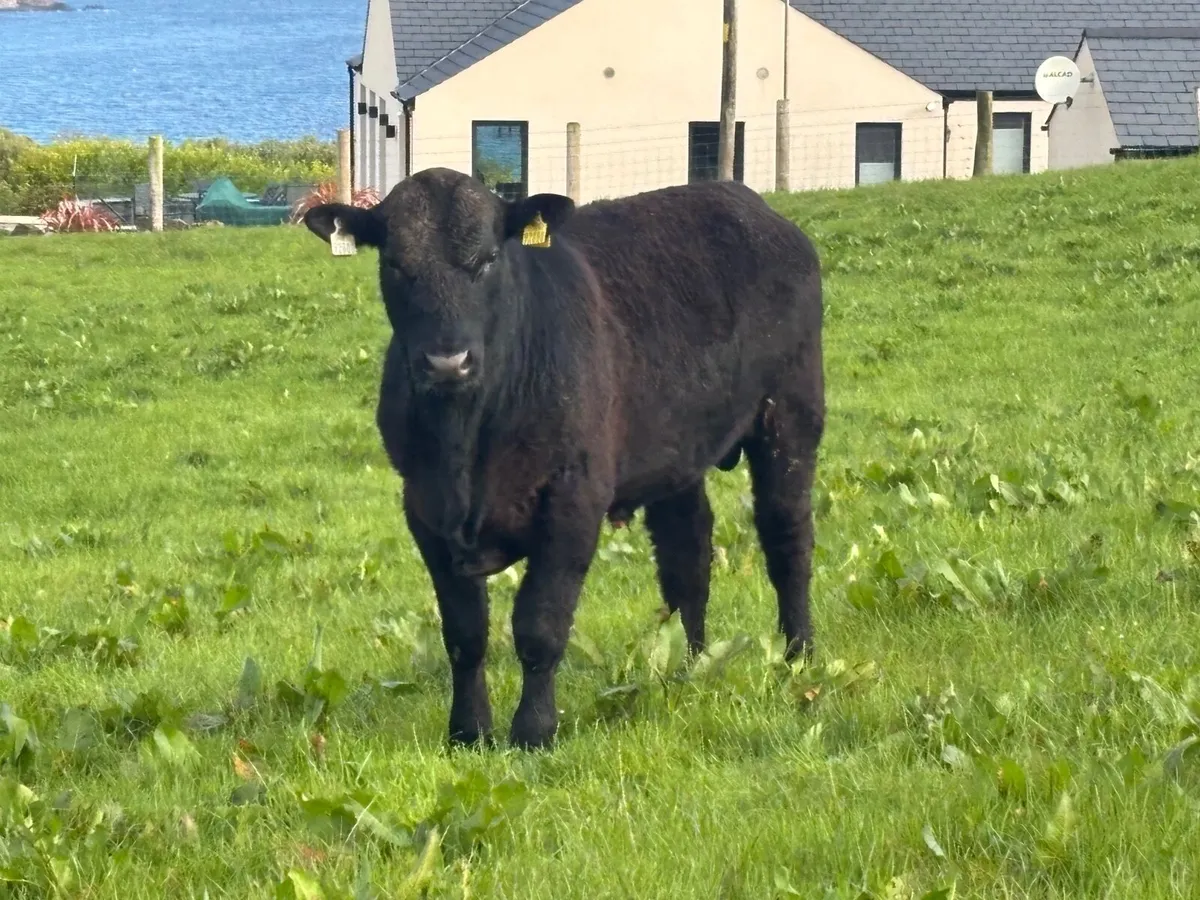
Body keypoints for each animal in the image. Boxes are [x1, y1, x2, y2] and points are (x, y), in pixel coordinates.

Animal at [302, 167, 825, 751]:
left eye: (488, 258)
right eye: (395, 262)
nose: (447, 361)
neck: (467, 444)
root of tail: (745, 200)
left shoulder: (574, 498)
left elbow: (540, 625)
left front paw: (534, 731)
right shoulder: (423, 507)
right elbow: (464, 632)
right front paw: (469, 730)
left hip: (791, 412)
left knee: (787, 538)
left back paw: (799, 655)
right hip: (677, 450)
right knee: (687, 554)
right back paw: (688, 665)